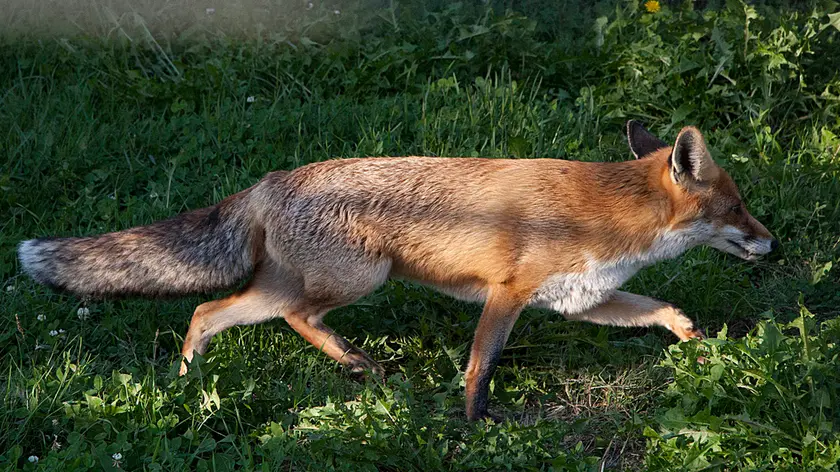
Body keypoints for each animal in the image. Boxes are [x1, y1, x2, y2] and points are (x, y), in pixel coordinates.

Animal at [16, 121, 776, 420]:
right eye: (739, 206)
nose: (771, 242)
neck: (603, 218)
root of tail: (271, 180)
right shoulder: (507, 294)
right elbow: (479, 365)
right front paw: (476, 422)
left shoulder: (580, 299)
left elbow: (664, 311)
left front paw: (698, 342)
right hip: (361, 279)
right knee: (268, 313)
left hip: (311, 283)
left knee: (227, 311)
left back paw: (203, 376)